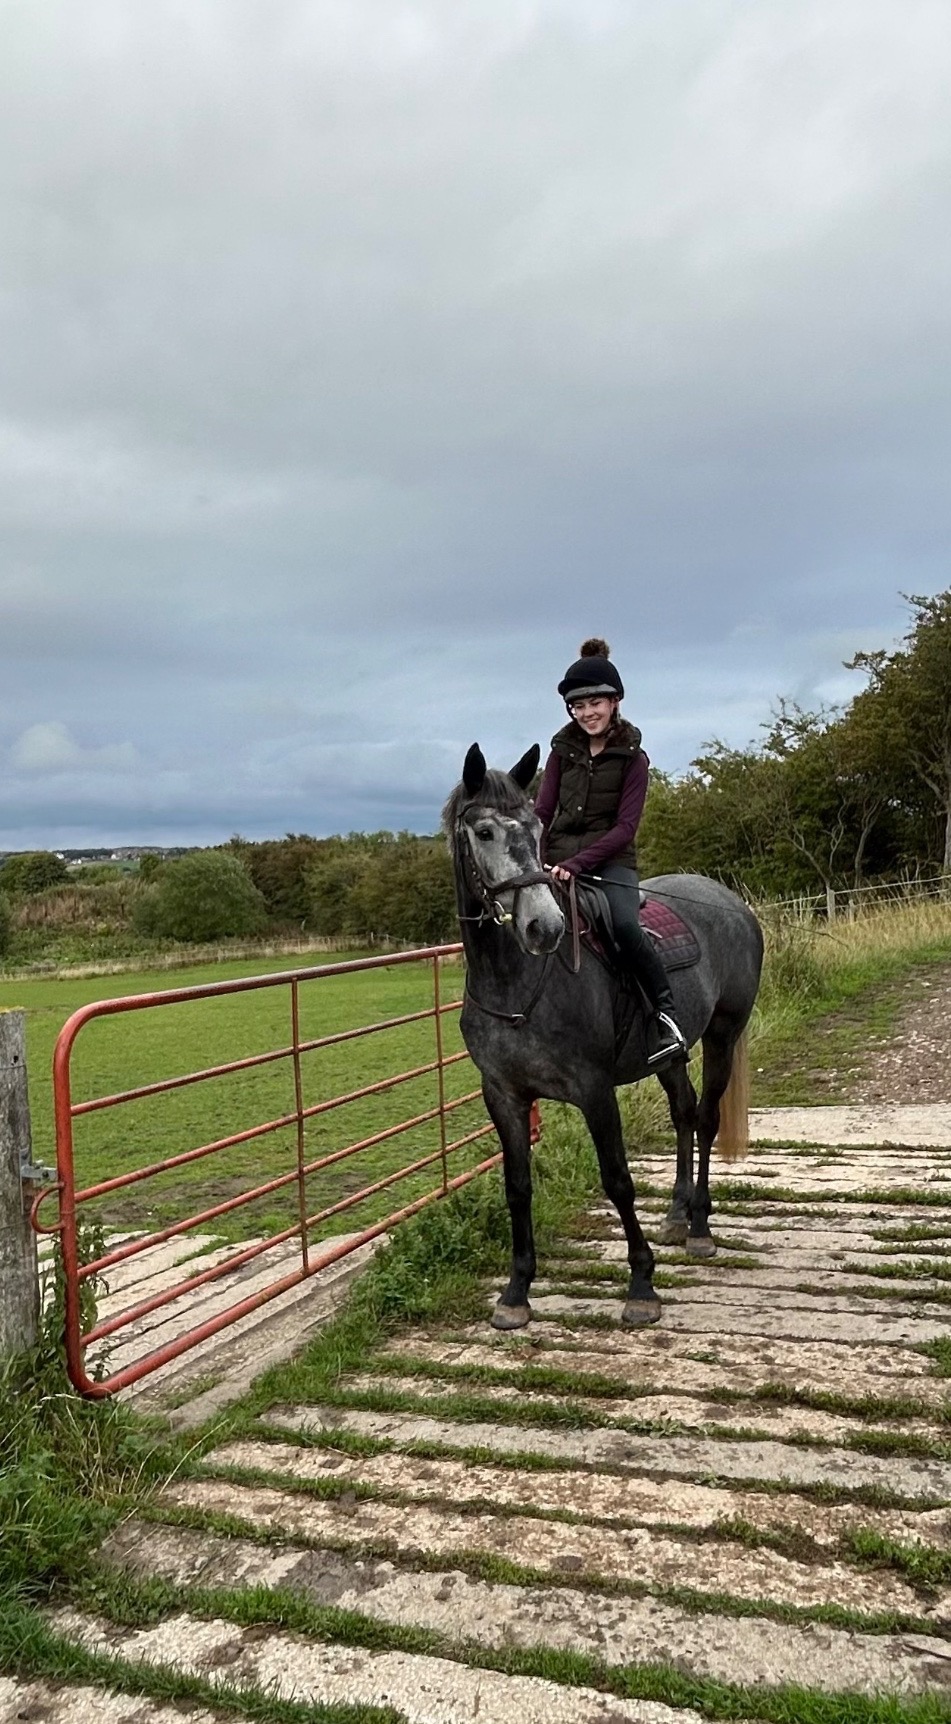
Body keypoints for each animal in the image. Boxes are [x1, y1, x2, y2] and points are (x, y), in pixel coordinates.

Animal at [443, 743, 764, 1331]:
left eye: (535, 827)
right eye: (484, 832)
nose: (544, 928)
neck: (518, 982)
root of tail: (730, 902)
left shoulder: (594, 1091)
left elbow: (617, 1178)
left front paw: (641, 1285)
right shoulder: (503, 1095)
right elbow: (517, 1187)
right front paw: (516, 1292)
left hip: (723, 1036)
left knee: (706, 1118)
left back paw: (700, 1228)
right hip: (669, 1056)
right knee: (684, 1113)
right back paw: (678, 1214)